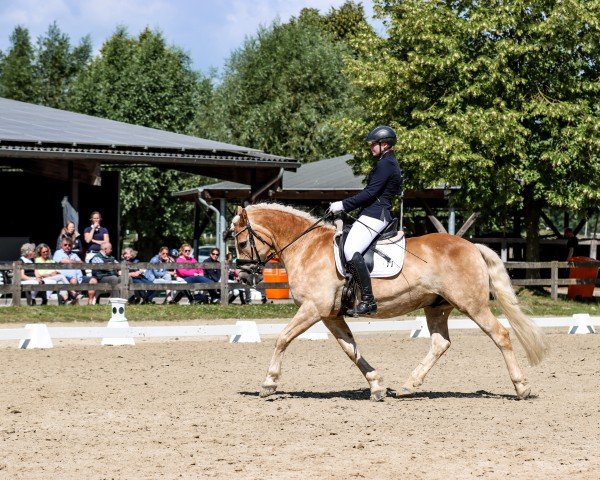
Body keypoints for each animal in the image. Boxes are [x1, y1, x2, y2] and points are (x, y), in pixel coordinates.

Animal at [230, 202, 548, 402]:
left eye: (243, 242)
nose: (243, 277)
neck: (306, 247)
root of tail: (471, 246)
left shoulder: (313, 309)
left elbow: (282, 338)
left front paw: (269, 383)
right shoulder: (330, 315)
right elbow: (350, 349)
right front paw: (376, 385)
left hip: (473, 305)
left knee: (500, 334)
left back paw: (522, 388)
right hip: (436, 307)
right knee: (440, 343)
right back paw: (408, 386)